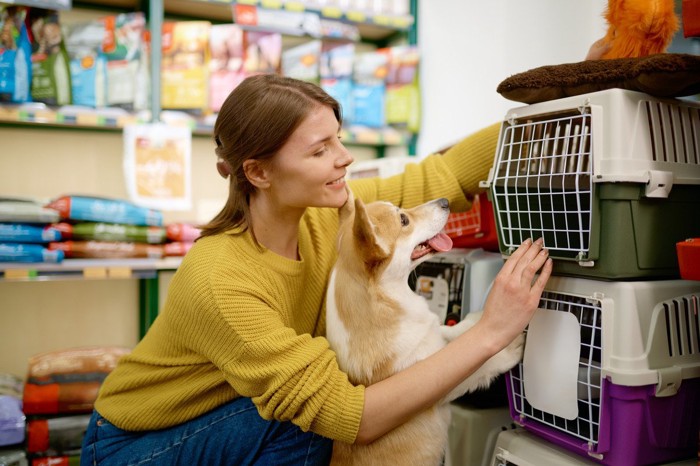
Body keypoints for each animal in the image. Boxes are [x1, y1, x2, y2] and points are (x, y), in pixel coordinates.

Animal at [326, 190, 524, 466]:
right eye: (403, 220)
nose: (445, 202)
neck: (391, 299)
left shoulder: (433, 334)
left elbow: (452, 331)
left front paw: (477, 319)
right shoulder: (443, 383)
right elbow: (480, 365)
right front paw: (510, 347)